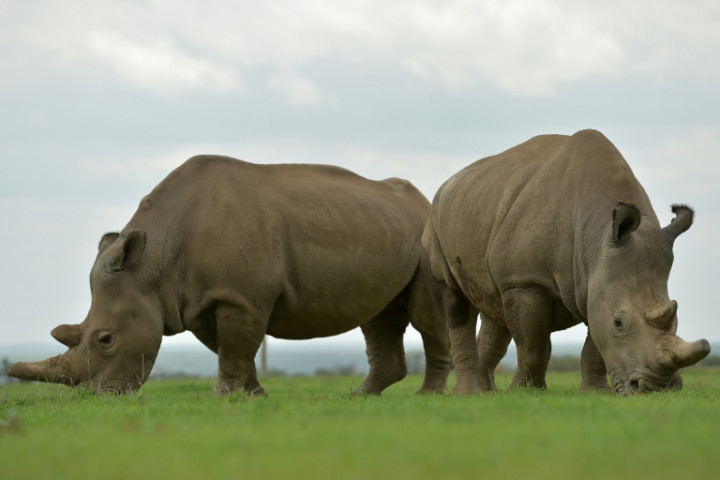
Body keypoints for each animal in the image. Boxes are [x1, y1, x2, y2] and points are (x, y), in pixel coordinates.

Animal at [10, 155, 451, 395]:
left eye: (105, 339)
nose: (97, 396)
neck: (152, 264)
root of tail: (423, 200)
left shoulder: (240, 296)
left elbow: (237, 347)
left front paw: (225, 397)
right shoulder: (199, 300)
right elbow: (232, 348)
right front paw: (253, 396)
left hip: (428, 238)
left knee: (426, 317)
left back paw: (427, 396)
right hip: (379, 227)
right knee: (378, 317)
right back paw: (359, 396)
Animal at [422, 129, 710, 395]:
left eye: (676, 318)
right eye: (618, 323)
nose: (658, 388)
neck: (596, 236)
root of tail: (448, 184)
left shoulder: (595, 282)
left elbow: (594, 346)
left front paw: (595, 393)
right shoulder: (525, 281)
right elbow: (533, 345)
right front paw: (526, 392)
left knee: (494, 309)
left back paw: (486, 393)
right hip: (436, 220)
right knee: (455, 301)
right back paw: (468, 395)